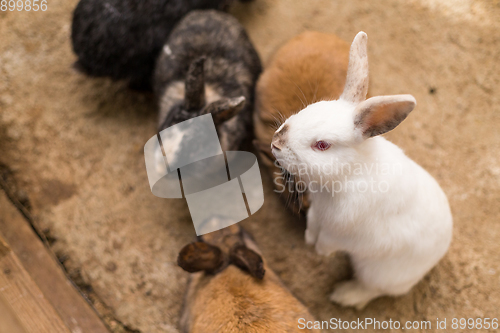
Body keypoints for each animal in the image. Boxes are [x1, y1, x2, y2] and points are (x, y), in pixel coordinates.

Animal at [270, 31, 454, 308]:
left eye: (322, 145)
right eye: (308, 108)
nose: (275, 143)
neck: (347, 174)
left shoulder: (342, 232)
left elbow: (328, 243)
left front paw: (319, 251)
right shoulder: (317, 213)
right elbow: (312, 225)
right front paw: (308, 240)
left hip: (375, 272)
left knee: (373, 290)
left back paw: (344, 295)